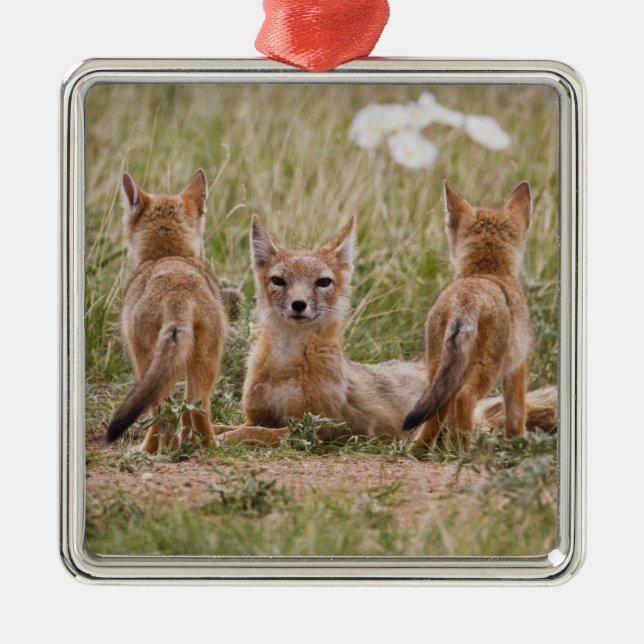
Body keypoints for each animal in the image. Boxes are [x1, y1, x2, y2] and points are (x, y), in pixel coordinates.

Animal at [105, 169, 227, 453]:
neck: (168, 255)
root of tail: (177, 290)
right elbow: (185, 411)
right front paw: (184, 443)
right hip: (205, 362)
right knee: (196, 407)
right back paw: (208, 447)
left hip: (145, 363)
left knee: (160, 411)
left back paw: (148, 450)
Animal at [214, 214, 556, 447]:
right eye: (278, 280)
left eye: (322, 282)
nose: (299, 305)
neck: (285, 366)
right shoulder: (257, 414)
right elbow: (229, 425)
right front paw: (206, 434)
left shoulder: (316, 427)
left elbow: (252, 433)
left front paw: (219, 441)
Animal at [402, 181, 535, 449]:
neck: (486, 272)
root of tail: (467, 298)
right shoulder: (518, 366)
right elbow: (516, 413)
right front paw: (518, 441)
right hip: (487, 370)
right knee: (464, 398)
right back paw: (464, 449)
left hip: (437, 370)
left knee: (439, 411)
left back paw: (422, 450)